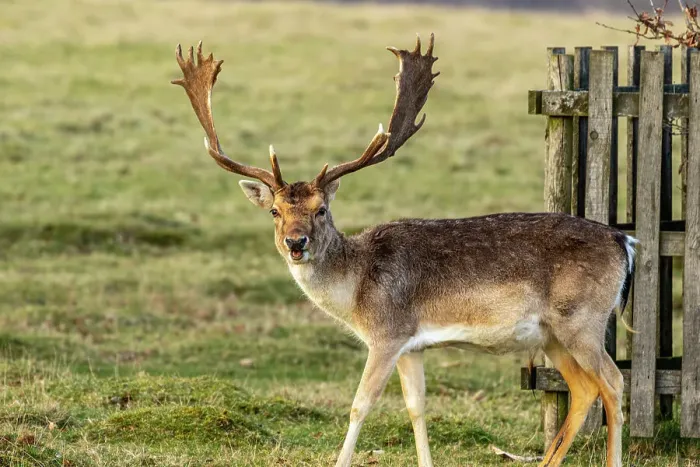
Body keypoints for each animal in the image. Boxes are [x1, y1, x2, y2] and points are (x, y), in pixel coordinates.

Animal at [171, 35, 636, 467]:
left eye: (321, 209)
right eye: (274, 211)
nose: (296, 242)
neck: (356, 291)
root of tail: (625, 242)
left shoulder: (387, 332)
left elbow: (360, 405)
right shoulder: (412, 345)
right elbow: (416, 409)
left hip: (582, 319)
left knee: (613, 382)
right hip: (553, 333)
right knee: (583, 388)